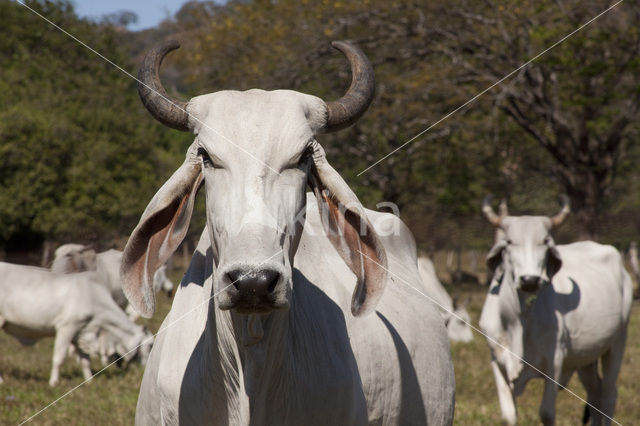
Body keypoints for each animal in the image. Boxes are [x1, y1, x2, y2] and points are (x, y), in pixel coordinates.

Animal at [0, 262, 154, 386]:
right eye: (150, 345)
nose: (146, 371)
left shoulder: (79, 333)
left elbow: (85, 360)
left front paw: (90, 381)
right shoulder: (67, 327)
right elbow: (59, 357)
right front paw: (53, 382)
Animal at [478, 197, 632, 426]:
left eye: (544, 242)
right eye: (509, 242)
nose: (530, 280)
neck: (517, 321)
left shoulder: (555, 360)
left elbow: (547, 413)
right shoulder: (497, 360)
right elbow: (508, 415)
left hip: (616, 343)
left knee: (608, 395)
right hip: (586, 357)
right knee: (595, 395)